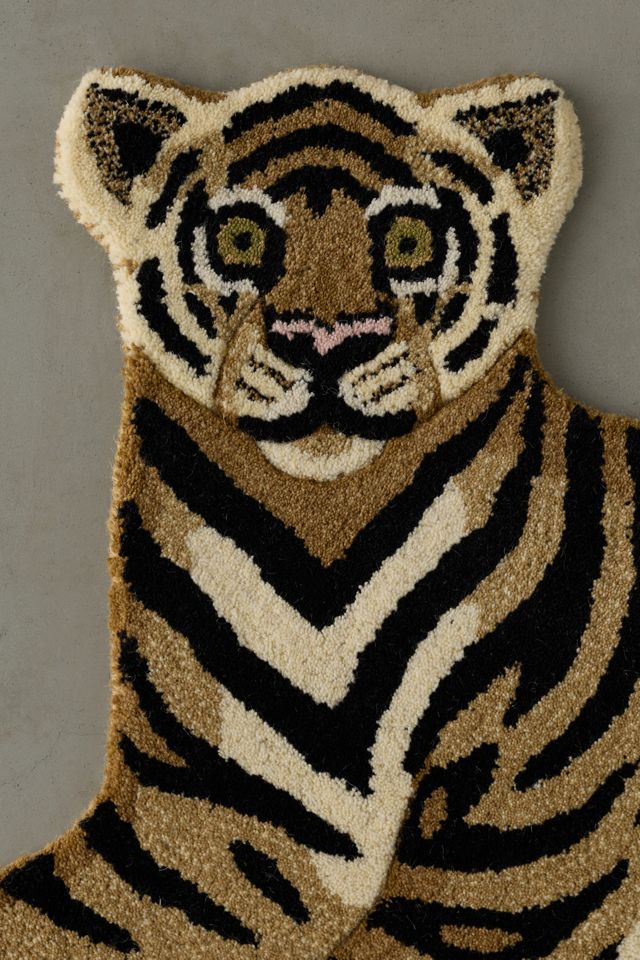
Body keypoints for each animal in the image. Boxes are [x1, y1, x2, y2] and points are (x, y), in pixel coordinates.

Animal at [0, 62, 638, 960]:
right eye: (240, 240)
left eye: (409, 243)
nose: (328, 341)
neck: (324, 533)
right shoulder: (209, 818)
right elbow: (61, 919)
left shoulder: (514, 849)